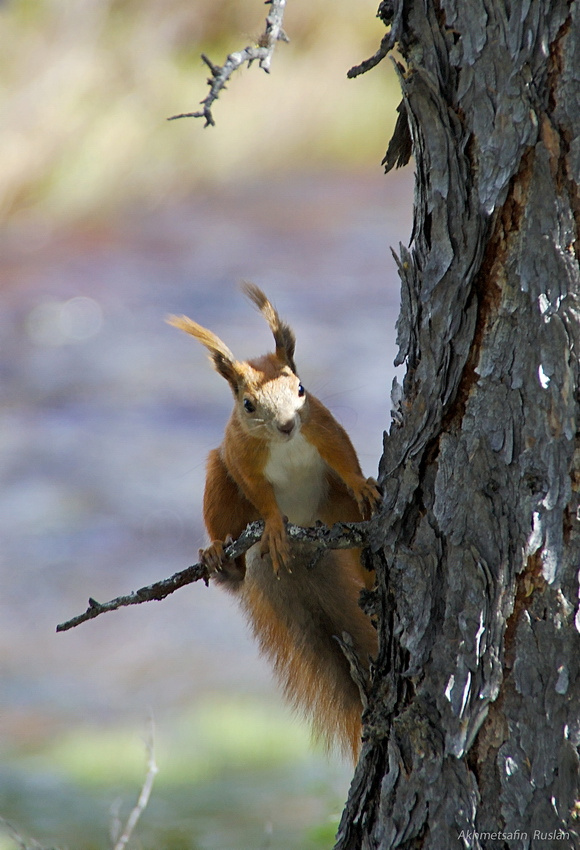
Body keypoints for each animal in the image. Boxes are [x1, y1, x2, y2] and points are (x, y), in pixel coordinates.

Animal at [168, 284, 381, 759]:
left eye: (301, 388)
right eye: (248, 404)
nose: (285, 425)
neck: (284, 444)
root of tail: (308, 544)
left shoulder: (323, 426)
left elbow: (346, 458)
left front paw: (364, 484)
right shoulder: (242, 460)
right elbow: (263, 499)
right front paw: (274, 527)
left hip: (335, 508)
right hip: (219, 481)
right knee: (233, 562)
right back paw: (220, 556)